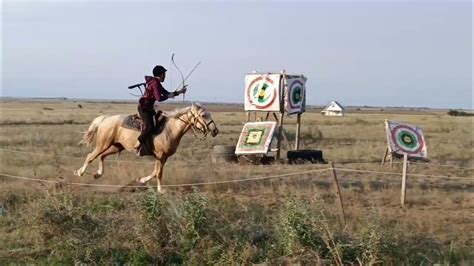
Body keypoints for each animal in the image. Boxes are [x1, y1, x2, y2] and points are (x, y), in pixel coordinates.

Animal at [74, 103, 218, 192]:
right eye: (203, 115)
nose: (215, 131)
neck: (170, 129)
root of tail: (105, 119)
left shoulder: (162, 157)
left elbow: (155, 172)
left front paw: (141, 180)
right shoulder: (161, 156)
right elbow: (159, 173)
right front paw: (160, 190)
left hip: (116, 147)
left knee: (102, 157)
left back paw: (97, 174)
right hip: (103, 144)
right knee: (90, 156)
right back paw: (80, 172)